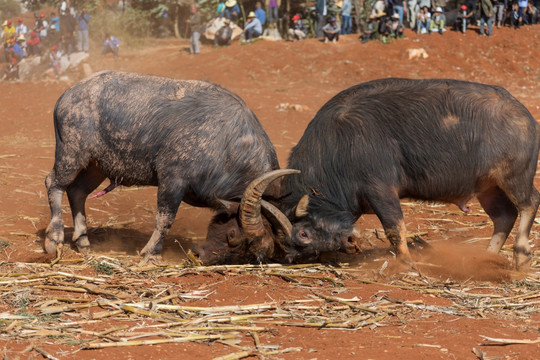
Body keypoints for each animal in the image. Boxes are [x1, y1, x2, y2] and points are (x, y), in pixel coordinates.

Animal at [44, 71, 296, 262]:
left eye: (252, 253)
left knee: (77, 192)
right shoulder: (172, 180)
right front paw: (152, 253)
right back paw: (54, 238)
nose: (200, 257)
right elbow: (164, 219)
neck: (227, 143)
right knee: (53, 183)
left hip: (95, 166)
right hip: (71, 154)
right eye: (233, 235)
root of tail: (67, 95)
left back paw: (83, 241)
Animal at [280, 79, 536, 270]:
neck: (336, 146)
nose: (350, 243)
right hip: (488, 188)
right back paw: (485, 258)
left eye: (303, 234)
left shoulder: (379, 188)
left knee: (529, 203)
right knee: (504, 215)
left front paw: (406, 262)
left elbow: (395, 228)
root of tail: (526, 117)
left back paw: (521, 256)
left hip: (514, 177)